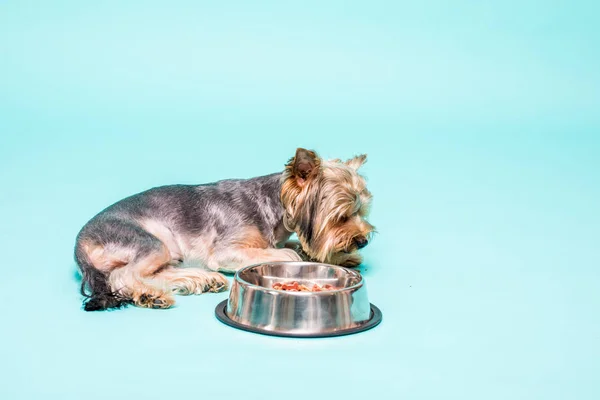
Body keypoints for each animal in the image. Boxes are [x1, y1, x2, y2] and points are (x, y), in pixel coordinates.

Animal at [75, 148, 376, 310]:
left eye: (361, 211)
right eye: (341, 216)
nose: (363, 241)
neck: (272, 205)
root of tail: (80, 243)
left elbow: (290, 246)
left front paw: (340, 256)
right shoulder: (226, 251)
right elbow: (285, 254)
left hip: (168, 252)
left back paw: (197, 279)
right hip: (146, 241)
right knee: (123, 276)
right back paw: (151, 295)